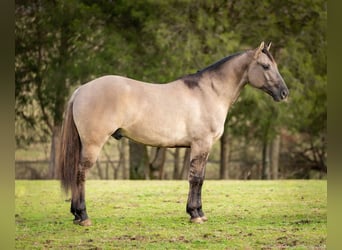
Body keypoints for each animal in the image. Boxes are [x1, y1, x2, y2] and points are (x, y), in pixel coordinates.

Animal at [58, 41, 288, 227]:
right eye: (266, 66)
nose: (284, 93)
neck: (209, 92)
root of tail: (81, 90)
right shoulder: (201, 144)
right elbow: (196, 179)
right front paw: (195, 214)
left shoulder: (201, 147)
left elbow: (199, 178)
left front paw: (198, 212)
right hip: (92, 144)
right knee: (81, 174)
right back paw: (83, 216)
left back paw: (76, 215)